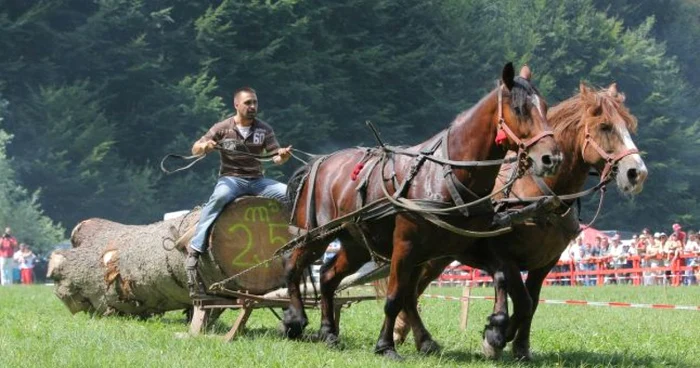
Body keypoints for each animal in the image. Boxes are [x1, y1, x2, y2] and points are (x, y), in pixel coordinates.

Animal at [282, 63, 560, 360]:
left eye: (544, 107)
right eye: (519, 109)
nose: (551, 158)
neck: (447, 174)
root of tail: (318, 162)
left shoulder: (460, 248)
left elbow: (498, 276)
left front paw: (495, 329)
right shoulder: (405, 246)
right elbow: (394, 297)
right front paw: (385, 346)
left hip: (356, 245)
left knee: (327, 276)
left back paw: (329, 332)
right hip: (315, 235)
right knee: (292, 266)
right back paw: (295, 320)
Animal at [392, 82, 648, 360]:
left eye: (628, 125)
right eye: (605, 126)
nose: (637, 173)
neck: (538, 196)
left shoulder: (546, 262)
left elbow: (531, 302)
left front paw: (519, 345)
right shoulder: (505, 256)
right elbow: (522, 301)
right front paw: (495, 338)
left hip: (438, 257)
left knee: (413, 288)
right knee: (409, 288)